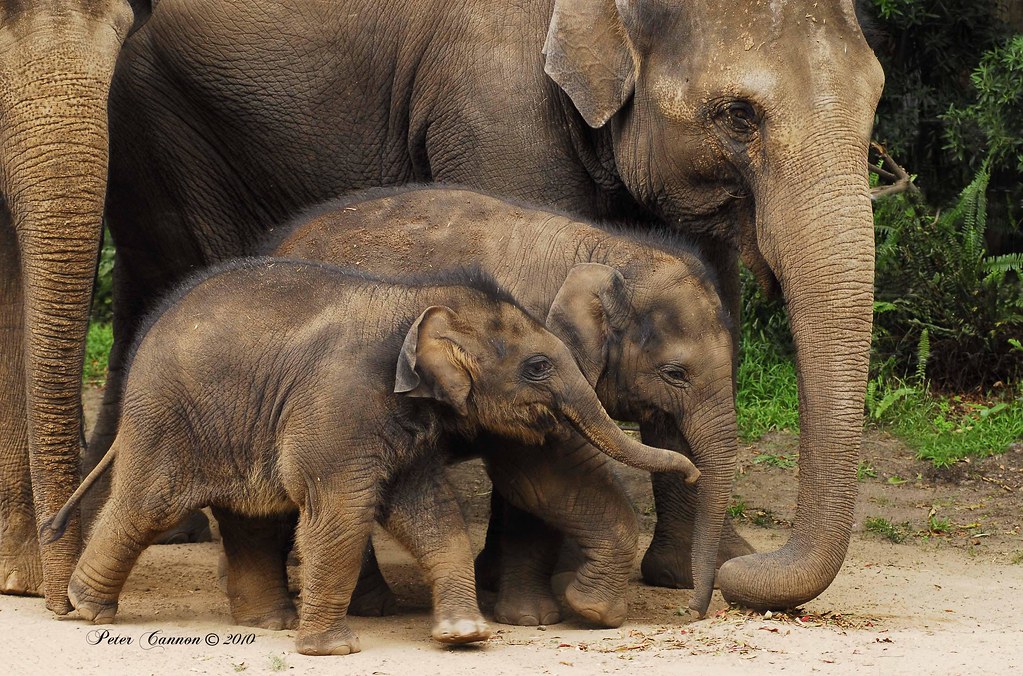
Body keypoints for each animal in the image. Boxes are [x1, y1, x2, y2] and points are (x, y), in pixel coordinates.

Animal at [40, 258, 699, 656]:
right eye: (537, 366)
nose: (692, 468)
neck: (417, 301)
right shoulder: (341, 404)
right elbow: (340, 510)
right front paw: (333, 650)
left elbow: (430, 513)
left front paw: (464, 635)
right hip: (167, 418)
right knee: (148, 505)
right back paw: (89, 610)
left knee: (249, 514)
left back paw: (268, 624)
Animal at [263, 185, 740, 622]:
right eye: (675, 373)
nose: (695, 611)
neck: (605, 249)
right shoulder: (527, 364)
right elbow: (541, 475)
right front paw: (585, 610)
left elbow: (531, 487)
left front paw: (535, 615)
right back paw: (367, 608)